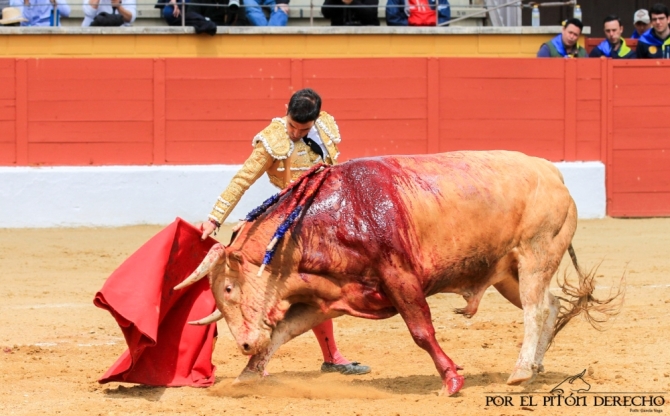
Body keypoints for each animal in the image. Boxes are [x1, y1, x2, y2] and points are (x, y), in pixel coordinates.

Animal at [175, 151, 624, 394]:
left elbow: (421, 331)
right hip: (509, 273)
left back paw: (519, 372)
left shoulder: (400, 277)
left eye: (228, 289)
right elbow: (287, 329)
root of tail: (552, 172)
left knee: (535, 310)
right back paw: (535, 366)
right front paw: (247, 375)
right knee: (550, 304)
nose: (244, 344)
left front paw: (452, 380)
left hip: (535, 253)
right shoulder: (331, 295)